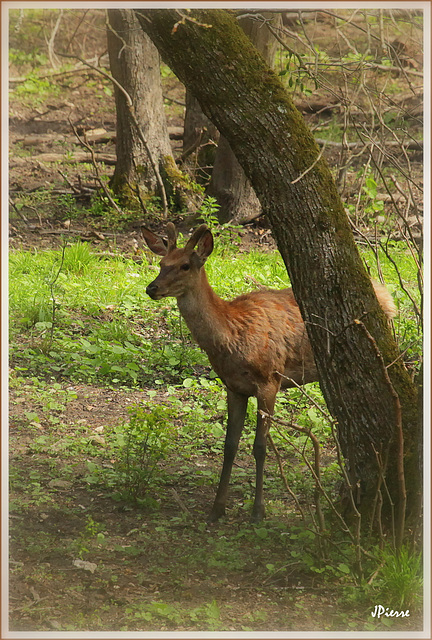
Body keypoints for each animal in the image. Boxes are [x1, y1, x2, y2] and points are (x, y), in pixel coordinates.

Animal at [143, 222, 396, 524]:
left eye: (184, 265)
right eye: (161, 263)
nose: (151, 288)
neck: (231, 335)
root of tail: (388, 296)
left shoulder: (269, 380)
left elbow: (259, 447)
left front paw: (257, 511)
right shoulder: (233, 387)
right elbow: (229, 445)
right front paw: (217, 508)